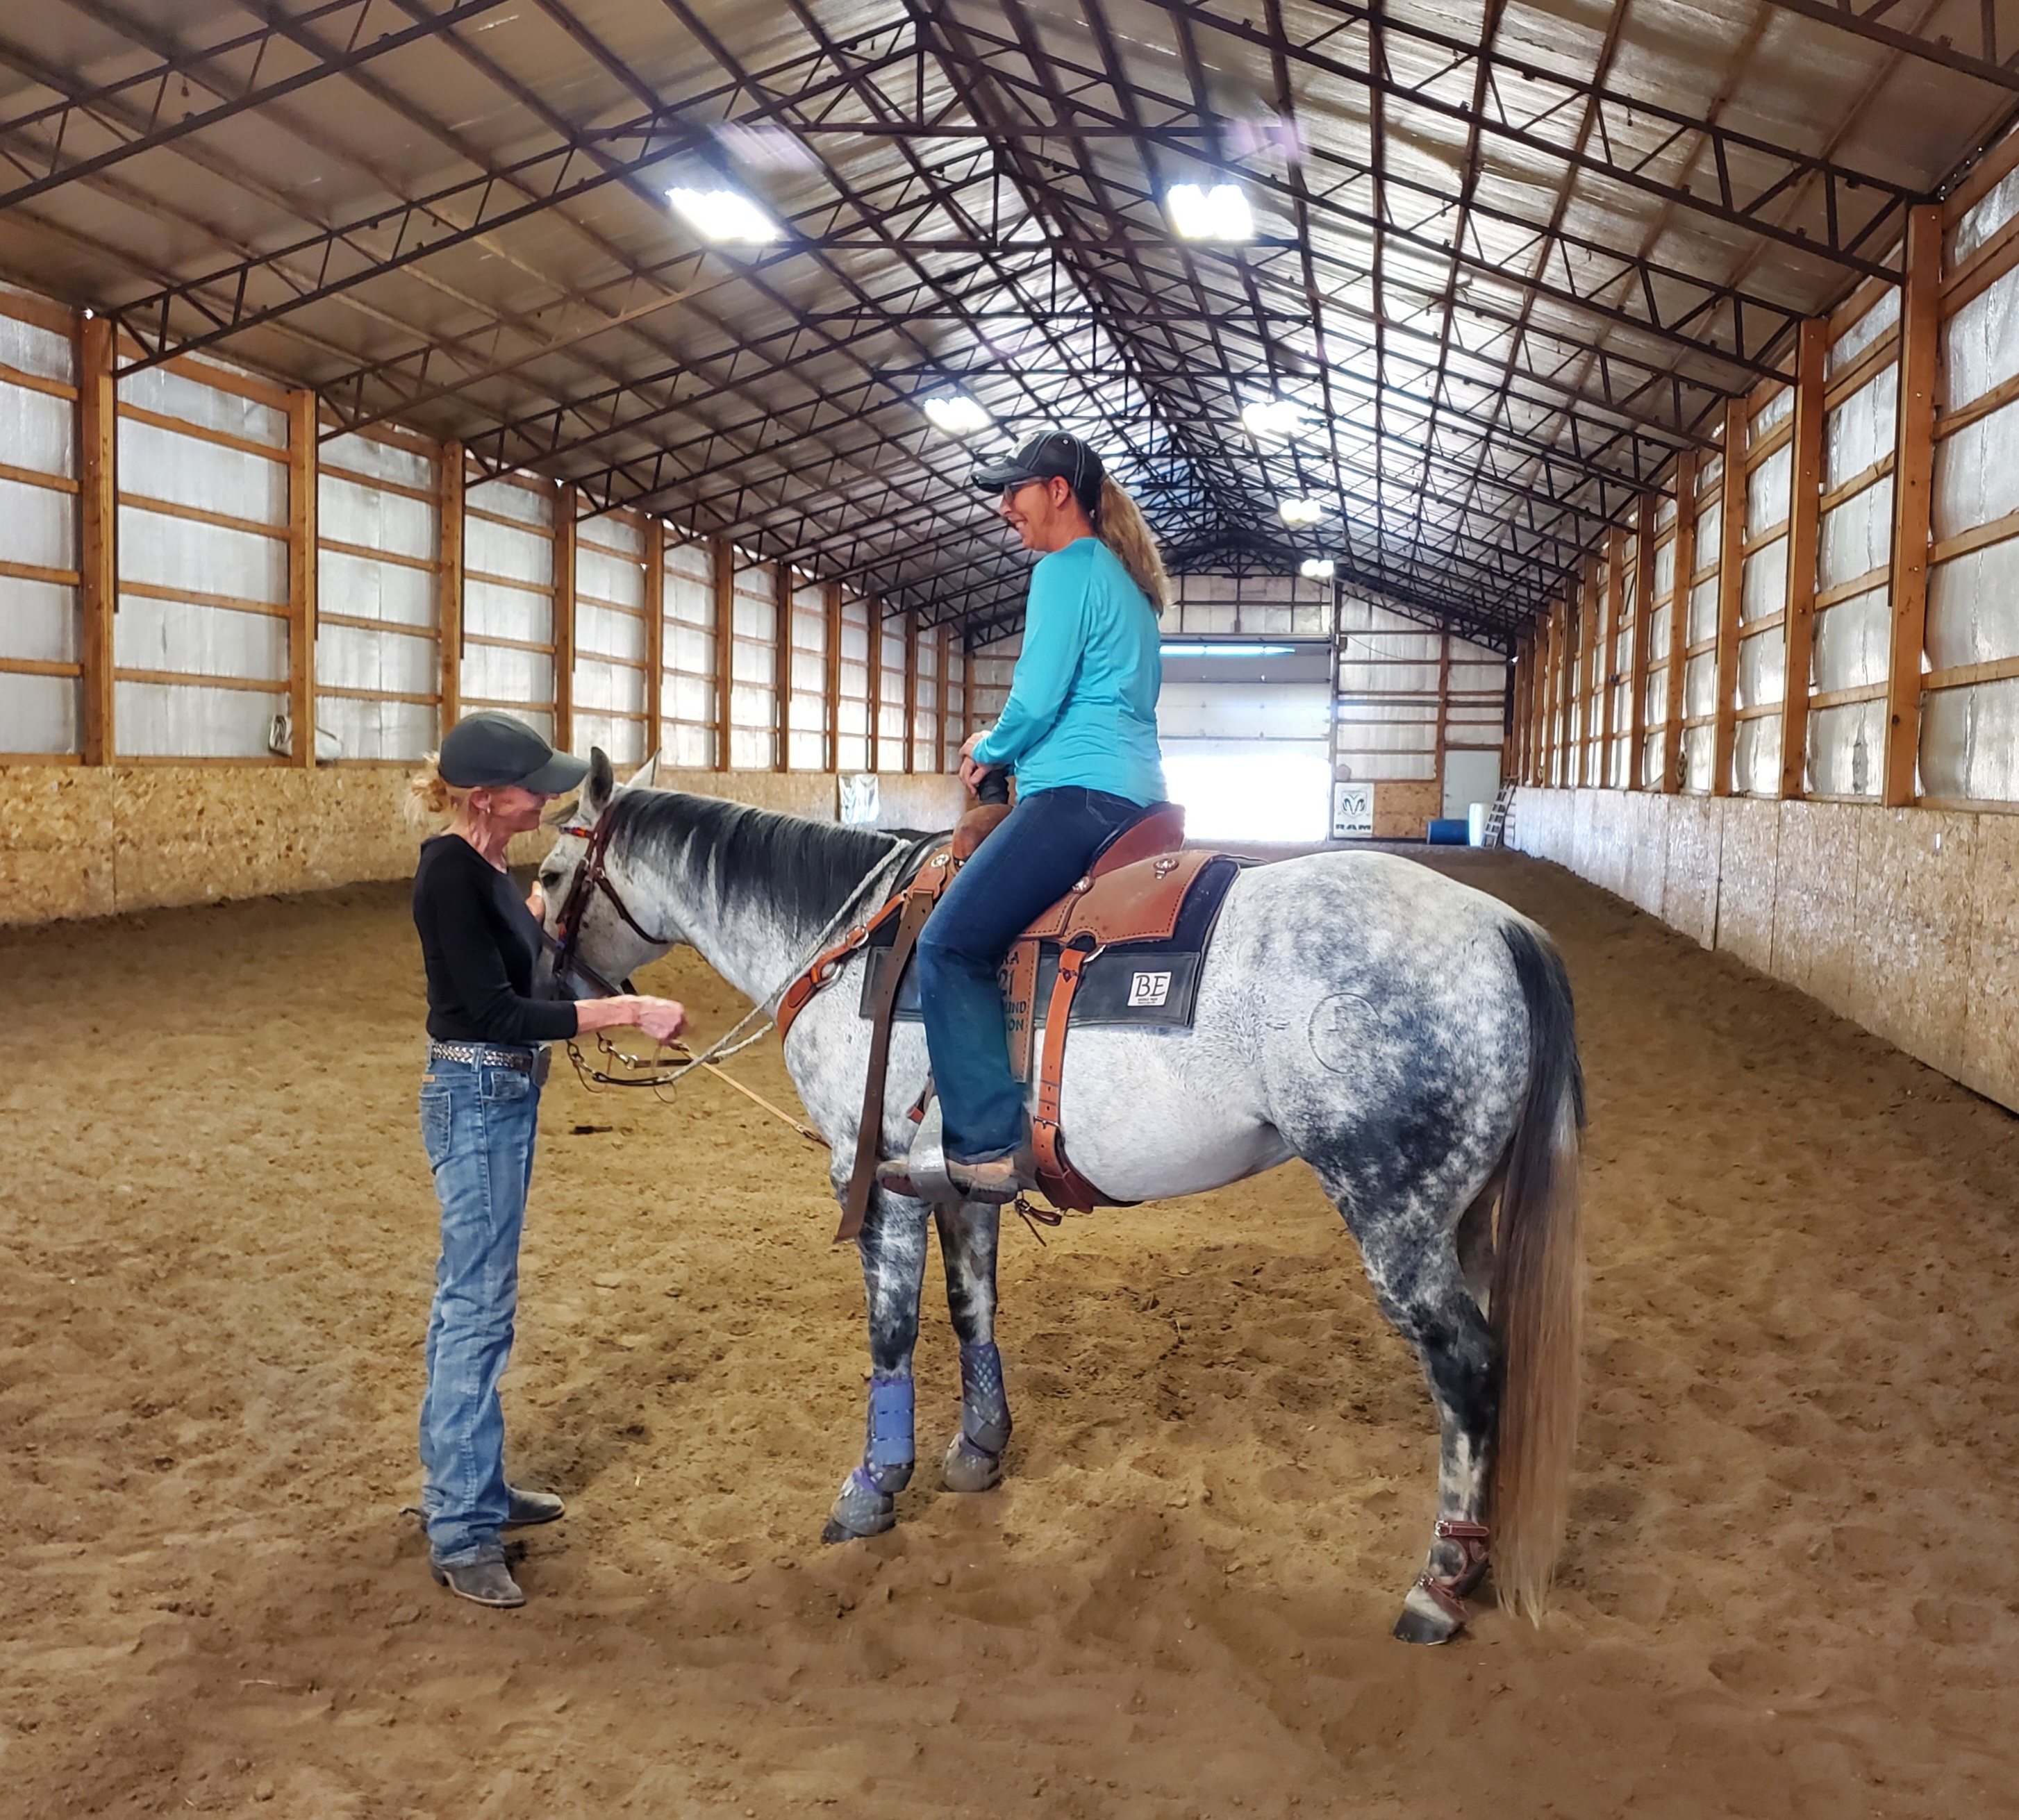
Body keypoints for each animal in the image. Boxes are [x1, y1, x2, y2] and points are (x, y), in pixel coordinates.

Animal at [545, 746, 1583, 1646]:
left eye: (553, 873)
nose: (560, 1000)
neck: (852, 948)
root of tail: (1500, 927)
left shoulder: (873, 1176)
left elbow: (890, 1334)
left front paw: (873, 1485)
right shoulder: (958, 1181)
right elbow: (971, 1307)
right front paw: (979, 1449)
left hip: (1394, 1212)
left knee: (1465, 1365)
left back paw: (1437, 1584)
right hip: (1459, 1213)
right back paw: (1472, 1555)